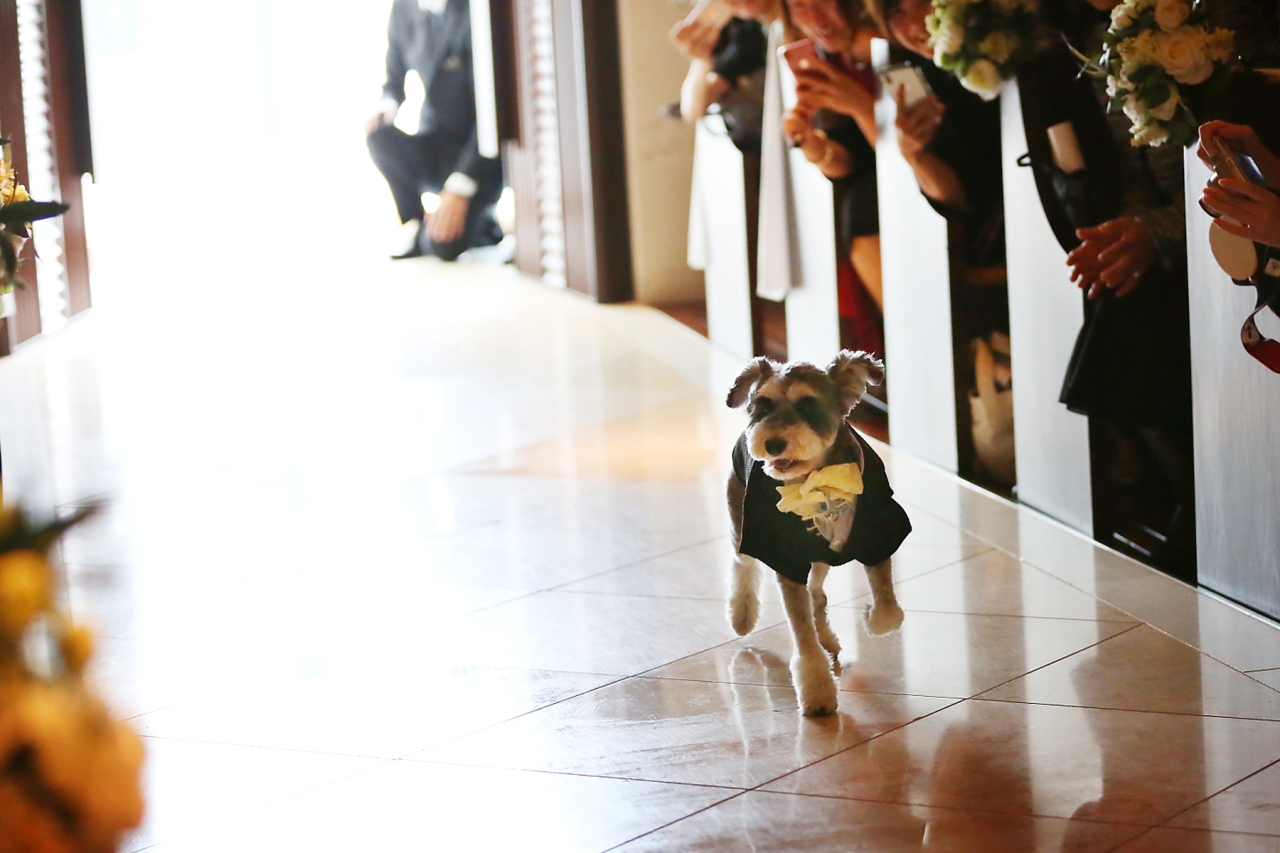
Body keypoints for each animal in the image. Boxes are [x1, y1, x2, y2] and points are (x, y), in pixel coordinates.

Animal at [726, 351, 911, 716]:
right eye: (763, 406)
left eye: (808, 406)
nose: (772, 443)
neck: (817, 480)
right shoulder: (786, 562)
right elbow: (802, 635)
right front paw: (818, 693)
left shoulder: (878, 538)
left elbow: (887, 610)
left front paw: (869, 616)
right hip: (741, 523)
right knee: (743, 564)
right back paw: (742, 614)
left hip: (821, 558)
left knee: (818, 591)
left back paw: (827, 635)